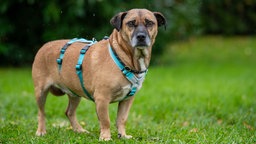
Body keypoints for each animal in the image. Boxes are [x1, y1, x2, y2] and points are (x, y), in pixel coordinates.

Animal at [32, 8, 166, 141]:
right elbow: (105, 121)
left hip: (75, 93)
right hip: (41, 92)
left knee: (69, 112)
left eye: (149, 23)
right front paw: (106, 137)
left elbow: (122, 119)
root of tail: (44, 46)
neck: (124, 57)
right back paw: (41, 131)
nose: (141, 36)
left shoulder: (127, 99)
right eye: (131, 23)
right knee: (41, 113)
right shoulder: (102, 98)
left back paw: (79, 130)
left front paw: (122, 135)